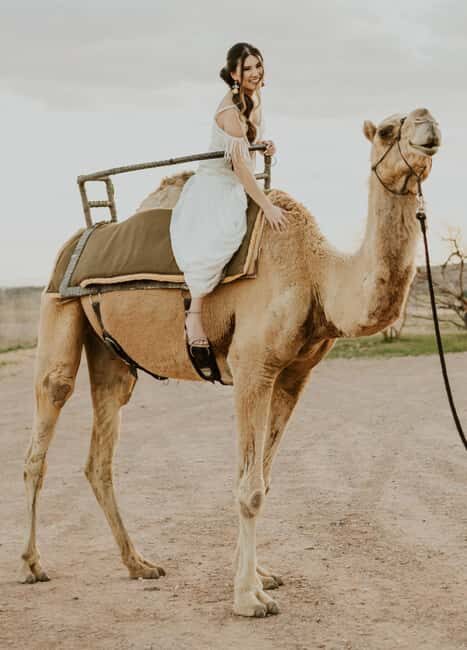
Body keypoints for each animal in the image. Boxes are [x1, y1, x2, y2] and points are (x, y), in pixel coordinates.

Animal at [22, 108, 441, 617]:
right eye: (386, 130)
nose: (428, 125)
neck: (317, 274)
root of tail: (80, 236)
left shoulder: (294, 375)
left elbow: (264, 478)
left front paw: (262, 576)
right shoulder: (251, 366)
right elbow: (250, 488)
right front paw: (248, 597)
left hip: (111, 356)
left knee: (100, 452)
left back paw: (139, 563)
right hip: (57, 306)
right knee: (47, 415)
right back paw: (33, 564)